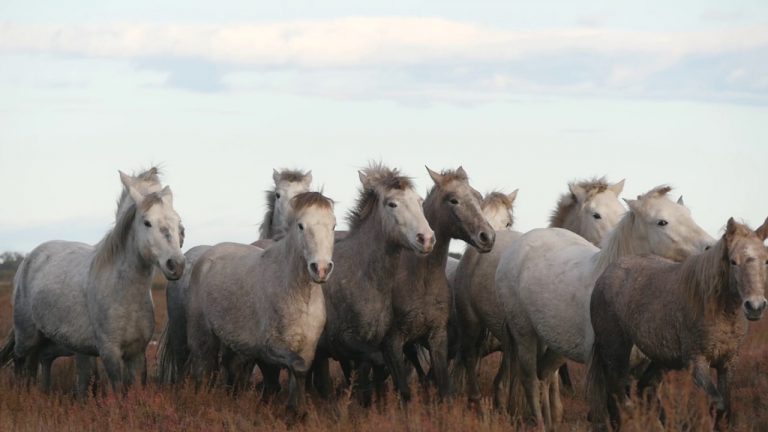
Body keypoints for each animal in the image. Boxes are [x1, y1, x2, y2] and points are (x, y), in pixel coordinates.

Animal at [498, 185, 712, 426]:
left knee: (544, 376)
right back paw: (541, 423)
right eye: (662, 222)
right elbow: (612, 412)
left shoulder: (643, 369)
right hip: (524, 334)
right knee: (530, 380)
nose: (711, 246)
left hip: (551, 344)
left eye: (688, 215)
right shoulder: (607, 367)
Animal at [588, 218, 768, 430]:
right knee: (618, 393)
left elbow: (725, 411)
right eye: (733, 262)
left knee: (644, 388)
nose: (755, 306)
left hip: (661, 360)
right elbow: (718, 403)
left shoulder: (728, 363)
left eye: (766, 260)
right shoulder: (697, 363)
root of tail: (606, 274)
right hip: (616, 350)